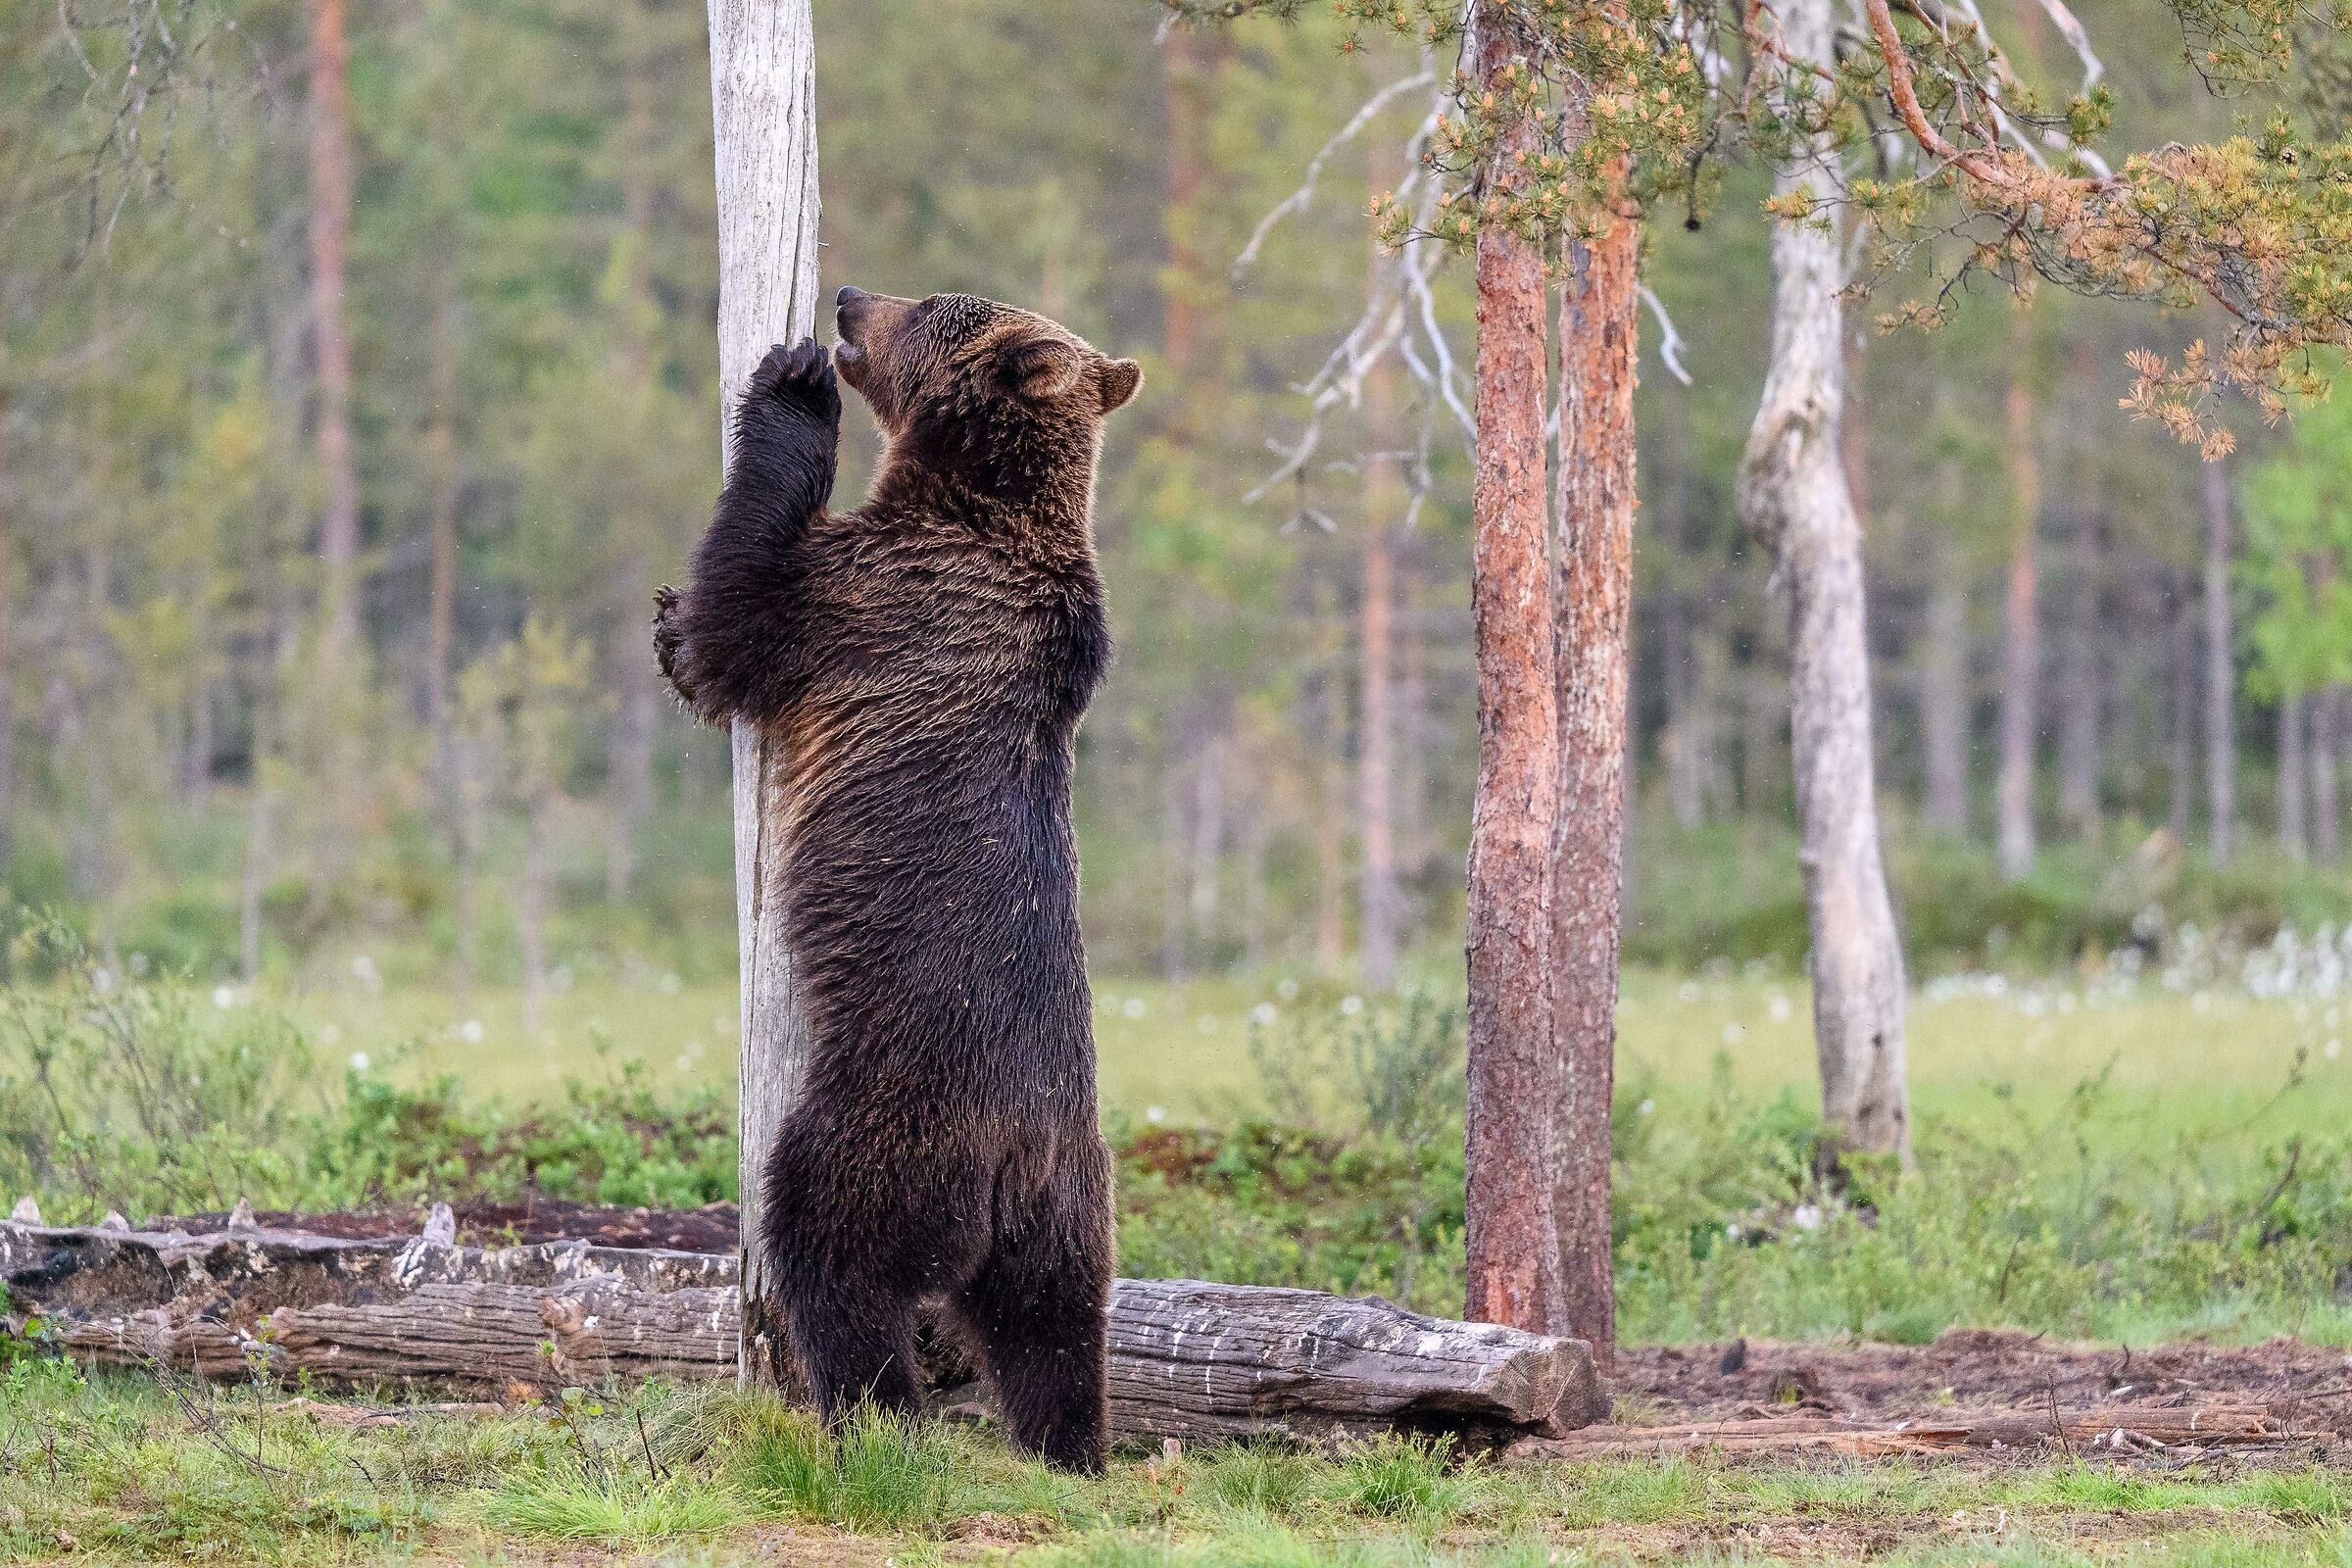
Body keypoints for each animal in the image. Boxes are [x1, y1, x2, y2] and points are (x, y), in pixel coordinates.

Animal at [653, 286, 1142, 1472]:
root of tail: (1010, 1162)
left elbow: (746, 613)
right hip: (1070, 1210)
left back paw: (868, 1407)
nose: (844, 300)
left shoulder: (872, 599)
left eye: (929, 303)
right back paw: (1070, 1445)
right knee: (1056, 1332)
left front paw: (788, 394)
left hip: (889, 1125)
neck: (980, 501)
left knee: (831, 1251)